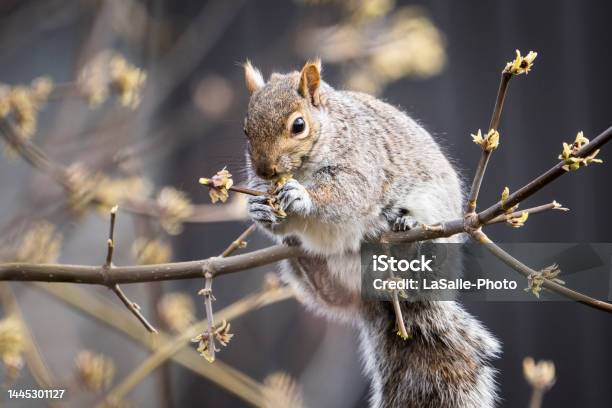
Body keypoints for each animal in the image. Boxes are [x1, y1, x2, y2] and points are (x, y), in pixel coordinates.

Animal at [241, 59, 500, 408]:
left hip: (435, 238)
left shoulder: (360, 166)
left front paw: (302, 197)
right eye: (245, 129)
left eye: (298, 125)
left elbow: (346, 195)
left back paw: (405, 229)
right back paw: (311, 265)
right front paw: (258, 208)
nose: (265, 170)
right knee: (328, 292)